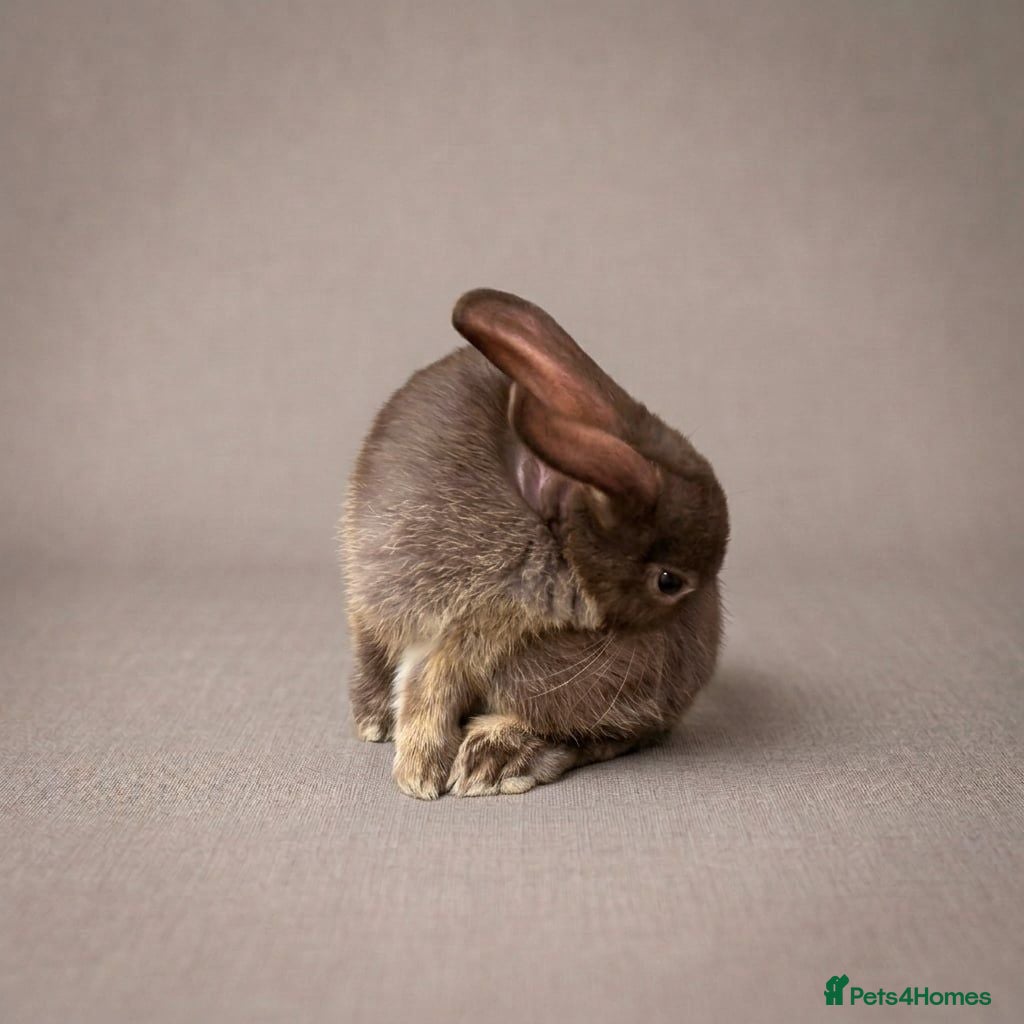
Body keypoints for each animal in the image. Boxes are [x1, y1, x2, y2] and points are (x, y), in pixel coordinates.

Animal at [341, 288, 728, 799]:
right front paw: (421, 776)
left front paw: (429, 770)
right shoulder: (460, 626)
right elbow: (428, 689)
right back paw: (385, 726)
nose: (697, 653)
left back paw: (494, 762)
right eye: (669, 581)